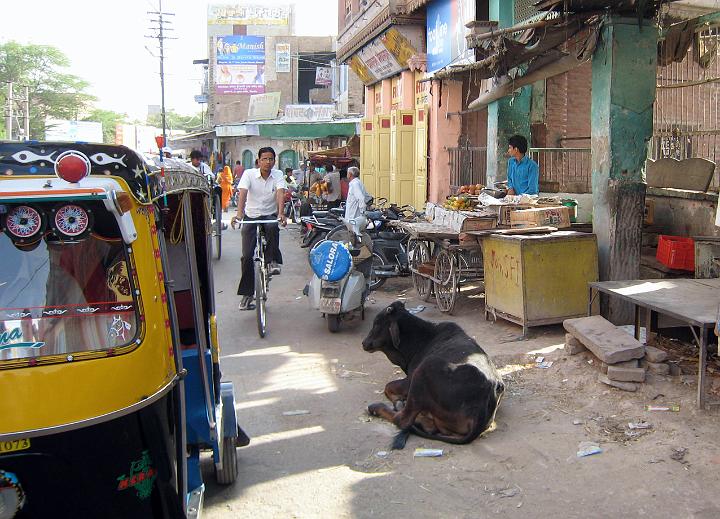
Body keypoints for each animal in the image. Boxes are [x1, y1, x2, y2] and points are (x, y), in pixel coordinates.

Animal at [360, 302, 506, 448]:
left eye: (376, 323)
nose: (363, 343)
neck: (421, 340)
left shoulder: (409, 380)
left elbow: (388, 386)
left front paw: (397, 400)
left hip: (425, 368)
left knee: (404, 420)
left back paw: (379, 408)